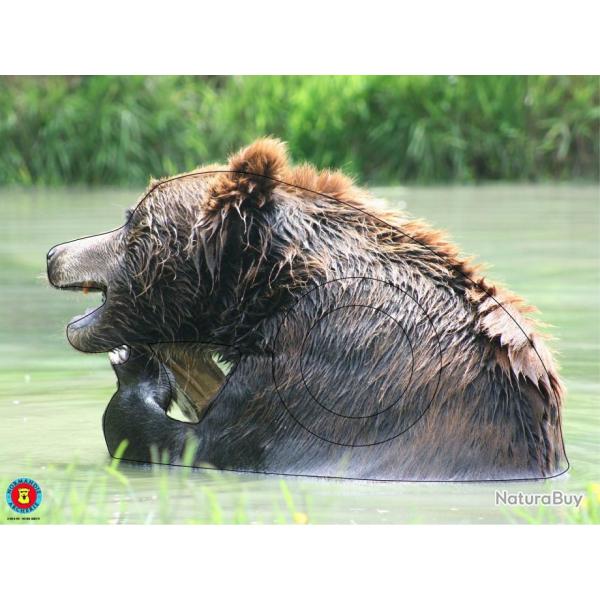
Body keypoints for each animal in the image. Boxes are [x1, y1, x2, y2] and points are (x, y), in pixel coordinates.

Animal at [48, 138, 568, 480]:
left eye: (131, 217)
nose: (54, 254)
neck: (270, 293)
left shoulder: (320, 375)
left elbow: (194, 444)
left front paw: (136, 367)